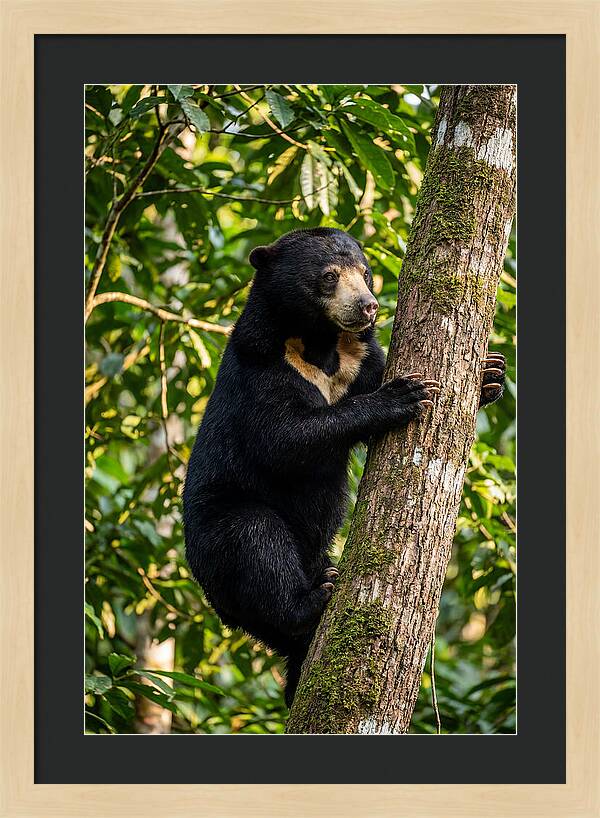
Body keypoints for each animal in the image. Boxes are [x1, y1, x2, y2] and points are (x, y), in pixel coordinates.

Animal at [183, 227, 505, 707]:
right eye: (330, 277)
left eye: (367, 273)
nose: (368, 306)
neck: (320, 344)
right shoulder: (261, 367)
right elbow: (282, 439)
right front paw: (403, 396)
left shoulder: (360, 358)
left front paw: (490, 374)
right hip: (218, 529)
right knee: (254, 540)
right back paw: (314, 598)